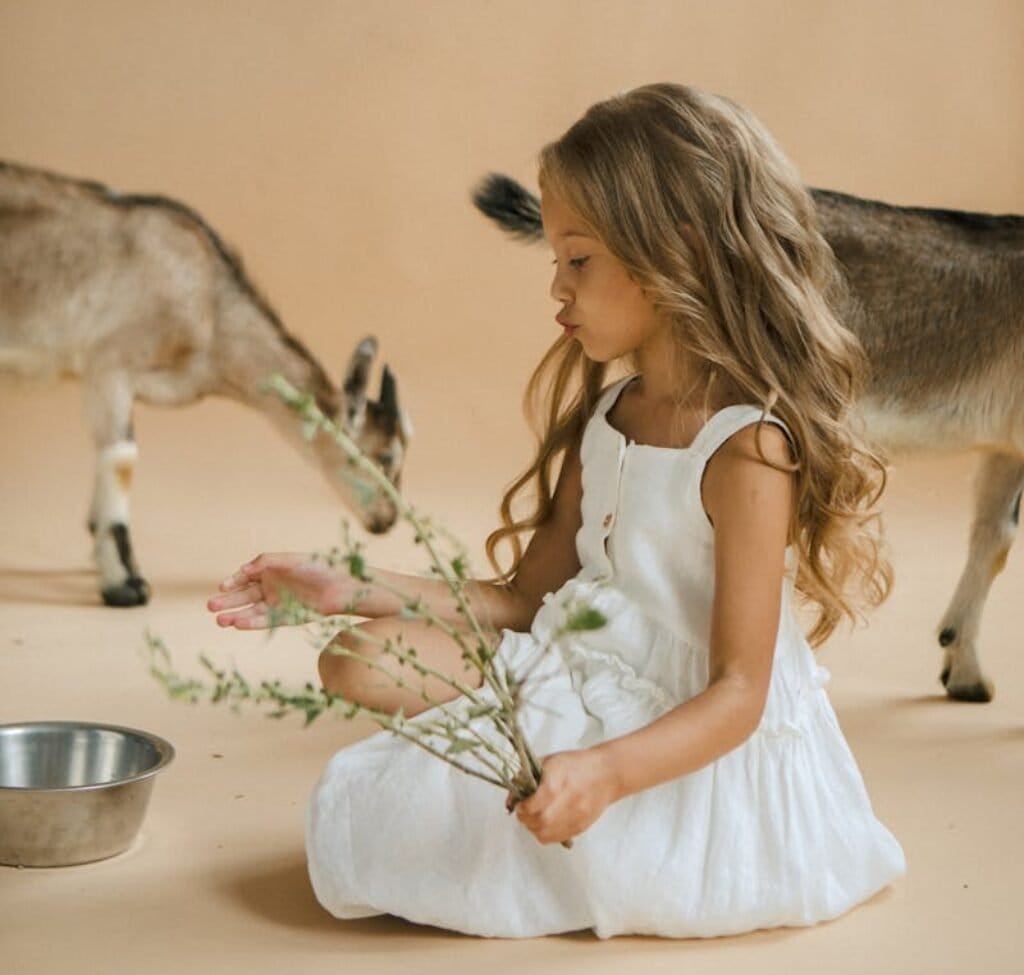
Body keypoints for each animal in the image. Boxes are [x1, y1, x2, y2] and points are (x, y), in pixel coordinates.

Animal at [4, 162, 411, 610]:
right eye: (385, 455)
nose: (388, 520)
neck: (210, 307)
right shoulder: (109, 366)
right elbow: (121, 459)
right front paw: (124, 585)